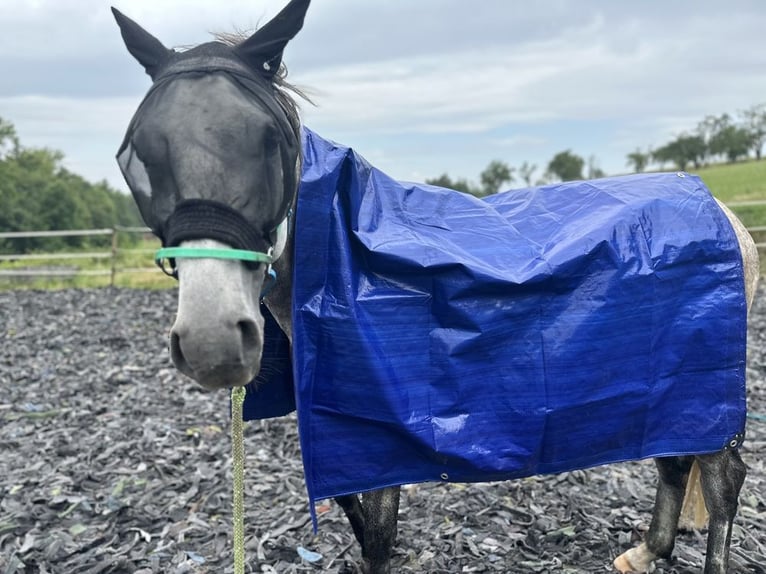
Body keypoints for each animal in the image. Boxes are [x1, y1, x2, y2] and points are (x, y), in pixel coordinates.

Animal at [246, 128, 752, 510]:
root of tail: (725, 215)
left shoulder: (373, 446)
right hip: (669, 404)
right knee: (675, 461)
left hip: (702, 396)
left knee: (723, 482)